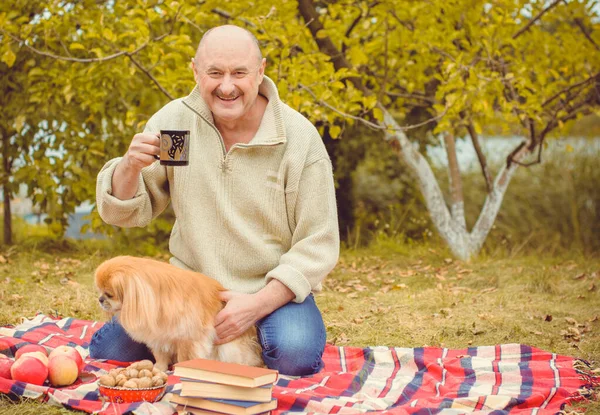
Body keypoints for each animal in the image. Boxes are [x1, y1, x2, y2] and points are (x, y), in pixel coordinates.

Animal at [94, 256, 262, 370]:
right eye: (100, 291)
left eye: (109, 294)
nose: (100, 299)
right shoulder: (158, 338)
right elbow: (161, 356)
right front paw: (158, 369)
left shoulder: (187, 339)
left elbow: (184, 357)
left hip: (229, 348)